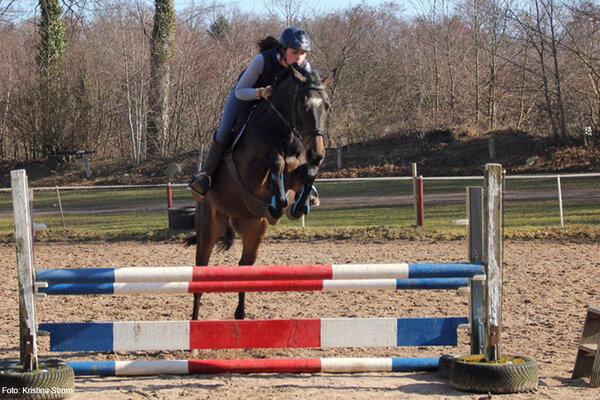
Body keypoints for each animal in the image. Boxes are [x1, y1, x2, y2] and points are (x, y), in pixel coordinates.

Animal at [189, 64, 332, 320]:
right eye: (304, 106)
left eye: (327, 107)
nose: (317, 154)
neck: (282, 131)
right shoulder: (249, 174)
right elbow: (276, 161)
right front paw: (278, 204)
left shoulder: (297, 169)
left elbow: (306, 171)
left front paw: (296, 206)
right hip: (209, 228)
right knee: (201, 273)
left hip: (253, 229)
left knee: (243, 267)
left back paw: (240, 315)